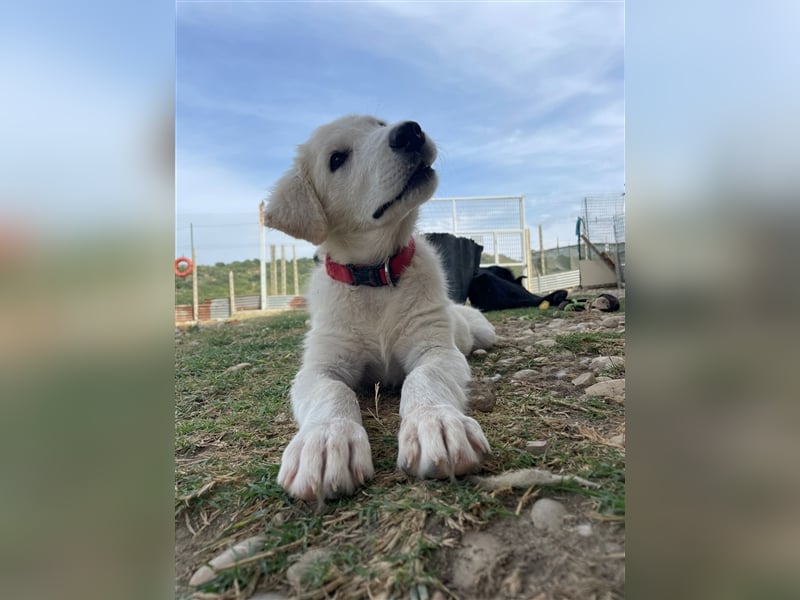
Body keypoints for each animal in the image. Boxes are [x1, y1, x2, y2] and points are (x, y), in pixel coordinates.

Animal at [266, 113, 496, 502]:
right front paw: (326, 439)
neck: (376, 275)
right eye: (337, 159)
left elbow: (423, 377)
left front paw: (436, 422)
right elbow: (334, 391)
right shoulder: (319, 368)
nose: (409, 132)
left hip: (482, 331)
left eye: (378, 123)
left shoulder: (436, 351)